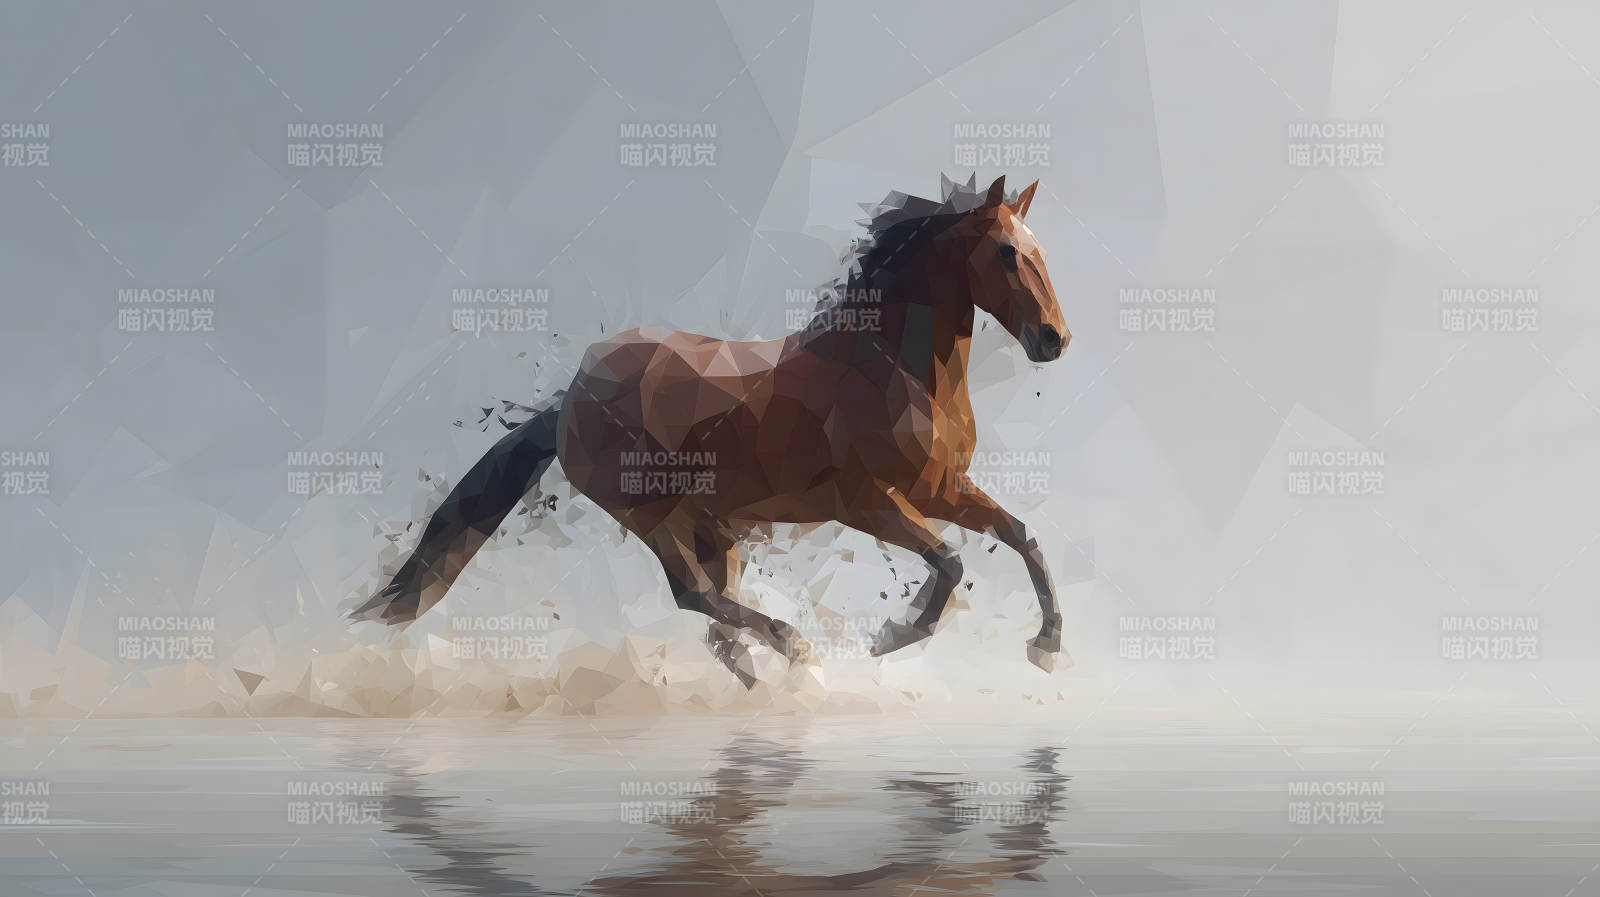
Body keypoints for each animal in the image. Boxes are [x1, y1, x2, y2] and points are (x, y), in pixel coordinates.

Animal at [351, 173, 1071, 684]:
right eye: (1007, 253)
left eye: (1040, 251)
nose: (1053, 340)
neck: (892, 366)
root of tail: (572, 397)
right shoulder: (866, 502)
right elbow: (950, 561)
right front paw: (891, 636)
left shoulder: (938, 488)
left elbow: (1022, 536)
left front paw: (1046, 644)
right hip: (652, 513)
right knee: (695, 598)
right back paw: (796, 651)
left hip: (710, 524)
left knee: (716, 624)